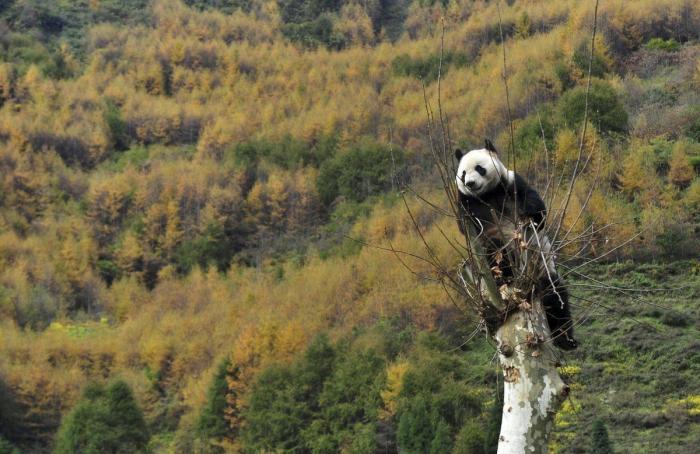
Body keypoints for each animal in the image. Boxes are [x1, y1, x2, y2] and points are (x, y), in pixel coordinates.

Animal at [455, 139, 578, 351]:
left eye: (479, 168)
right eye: (463, 174)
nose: (470, 183)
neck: (487, 194)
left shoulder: (511, 182)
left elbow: (536, 206)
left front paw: (531, 215)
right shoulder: (467, 202)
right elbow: (466, 228)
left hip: (542, 269)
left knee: (556, 297)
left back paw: (566, 340)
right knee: (494, 249)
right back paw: (505, 273)